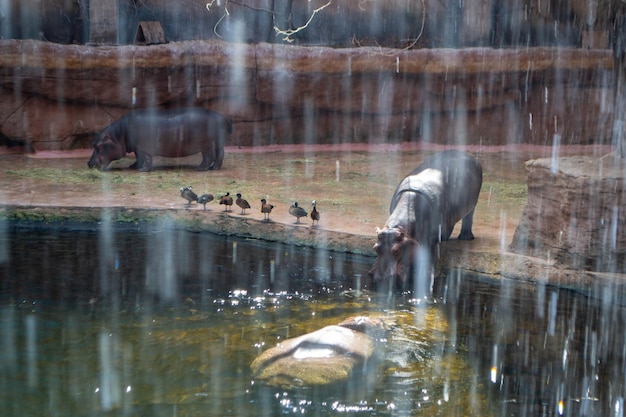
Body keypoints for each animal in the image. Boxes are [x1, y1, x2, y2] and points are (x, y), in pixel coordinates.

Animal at [88, 109, 232, 172]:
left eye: (97, 146)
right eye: (93, 144)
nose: (89, 164)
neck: (118, 136)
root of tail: (222, 116)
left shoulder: (143, 147)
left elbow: (145, 158)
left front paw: (142, 170)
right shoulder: (136, 147)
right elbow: (138, 158)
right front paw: (133, 166)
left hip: (208, 143)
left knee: (214, 155)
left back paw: (205, 169)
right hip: (209, 143)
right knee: (213, 155)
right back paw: (208, 168)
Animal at [368, 150, 480, 290]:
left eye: (397, 250)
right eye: (375, 248)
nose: (380, 279)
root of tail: (468, 155)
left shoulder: (432, 235)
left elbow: (430, 252)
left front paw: (429, 275)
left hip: (472, 204)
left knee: (468, 217)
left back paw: (465, 238)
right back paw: (445, 238)